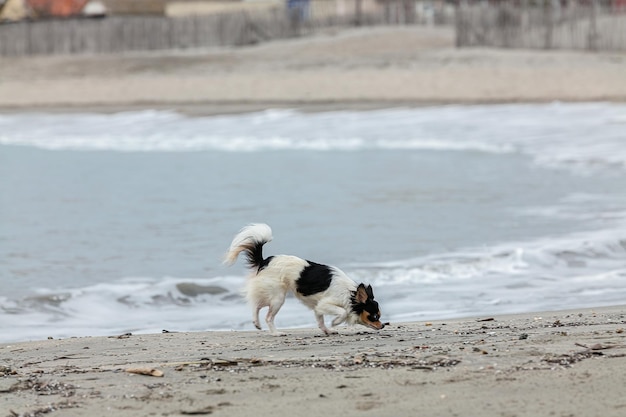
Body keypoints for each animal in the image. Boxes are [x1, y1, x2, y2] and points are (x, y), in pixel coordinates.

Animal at [223, 224, 380, 334]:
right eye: (374, 316)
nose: (383, 325)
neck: (350, 295)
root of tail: (264, 261)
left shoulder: (318, 307)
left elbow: (320, 321)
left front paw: (327, 330)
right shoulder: (325, 304)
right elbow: (343, 312)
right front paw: (335, 323)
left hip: (271, 295)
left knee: (257, 305)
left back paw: (256, 323)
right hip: (278, 298)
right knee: (267, 315)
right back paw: (276, 333)